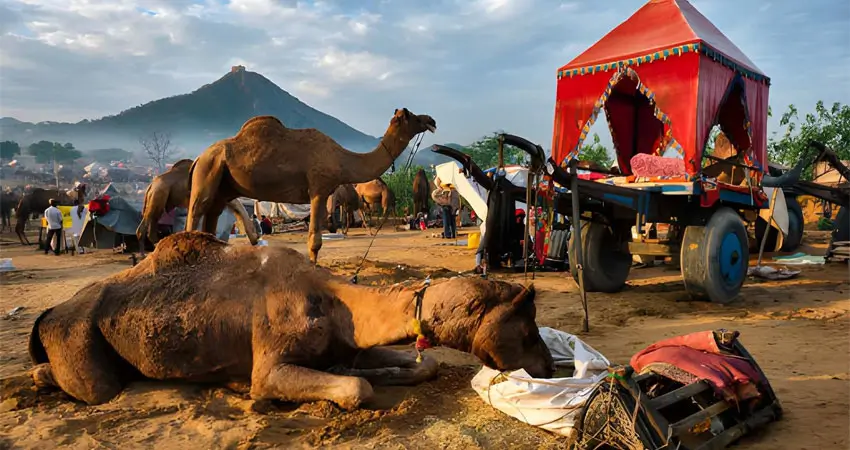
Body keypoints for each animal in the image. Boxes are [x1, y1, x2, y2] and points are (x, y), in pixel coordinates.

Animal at [28, 231, 553, 408]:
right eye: (528, 331)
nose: (551, 367)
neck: (335, 300)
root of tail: (49, 312)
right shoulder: (272, 361)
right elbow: (355, 389)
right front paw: (250, 391)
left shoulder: (348, 343)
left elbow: (422, 363)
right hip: (76, 336)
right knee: (92, 386)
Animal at [185, 108, 436, 263]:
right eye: (413, 116)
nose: (431, 120)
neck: (340, 159)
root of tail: (197, 158)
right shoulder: (318, 189)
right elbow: (315, 240)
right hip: (208, 170)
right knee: (196, 211)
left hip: (223, 186)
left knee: (212, 216)